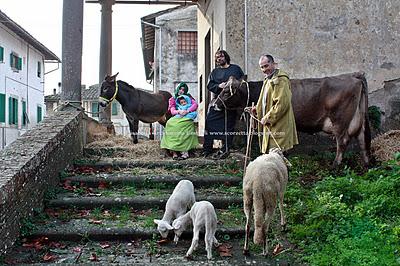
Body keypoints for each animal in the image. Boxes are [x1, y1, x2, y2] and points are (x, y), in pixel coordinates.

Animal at [216, 71, 372, 165]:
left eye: (226, 92)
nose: (215, 104)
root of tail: (354, 75)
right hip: (359, 118)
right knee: (362, 138)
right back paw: (366, 164)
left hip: (339, 119)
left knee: (343, 141)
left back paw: (335, 165)